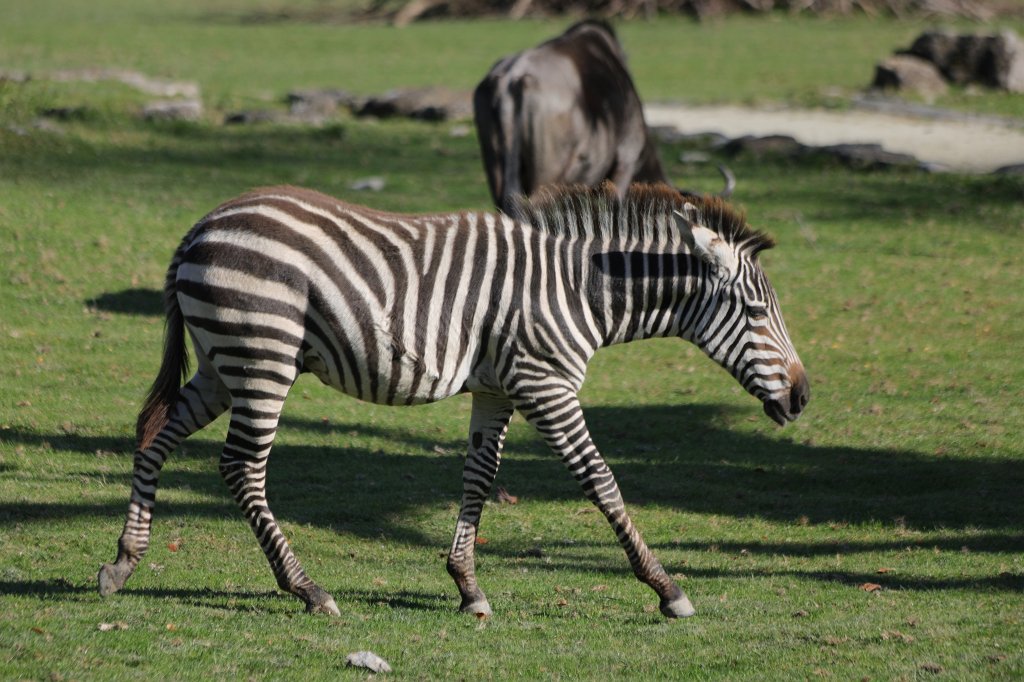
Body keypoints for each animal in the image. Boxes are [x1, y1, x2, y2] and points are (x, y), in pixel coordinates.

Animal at [98, 182, 809, 618]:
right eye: (755, 311)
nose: (802, 397)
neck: (581, 288)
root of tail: (200, 226)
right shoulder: (546, 383)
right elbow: (600, 479)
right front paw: (666, 587)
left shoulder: (497, 388)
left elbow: (478, 478)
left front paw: (467, 586)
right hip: (262, 358)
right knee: (241, 468)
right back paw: (307, 589)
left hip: (224, 364)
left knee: (155, 433)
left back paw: (124, 563)